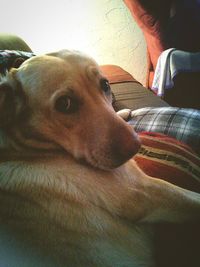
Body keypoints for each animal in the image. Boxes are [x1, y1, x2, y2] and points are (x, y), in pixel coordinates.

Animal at [0, 49, 199, 266]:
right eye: (65, 104)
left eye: (105, 85)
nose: (135, 146)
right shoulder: (146, 191)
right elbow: (192, 198)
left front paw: (123, 112)